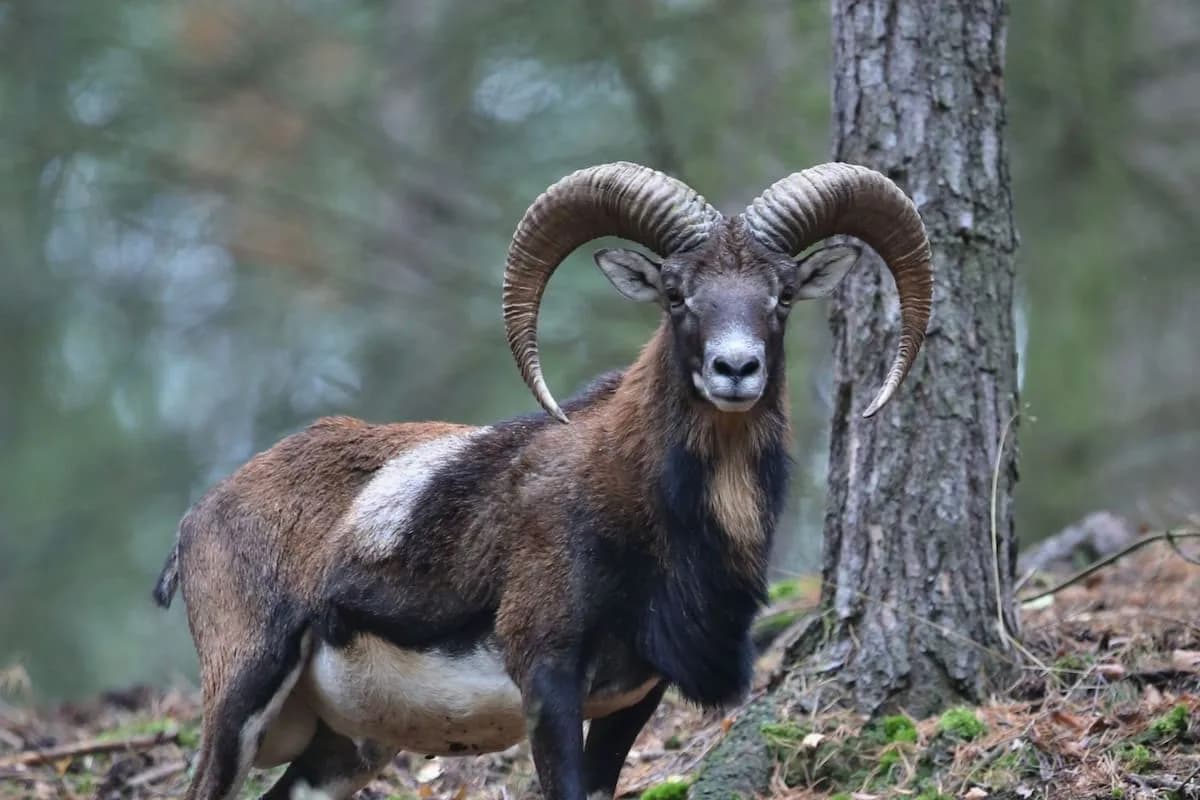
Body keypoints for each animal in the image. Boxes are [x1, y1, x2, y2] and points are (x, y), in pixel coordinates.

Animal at [153, 161, 932, 800]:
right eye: (676, 295)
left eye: (782, 296)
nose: (735, 369)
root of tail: (197, 520)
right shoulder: (548, 682)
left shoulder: (632, 702)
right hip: (242, 697)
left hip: (343, 752)